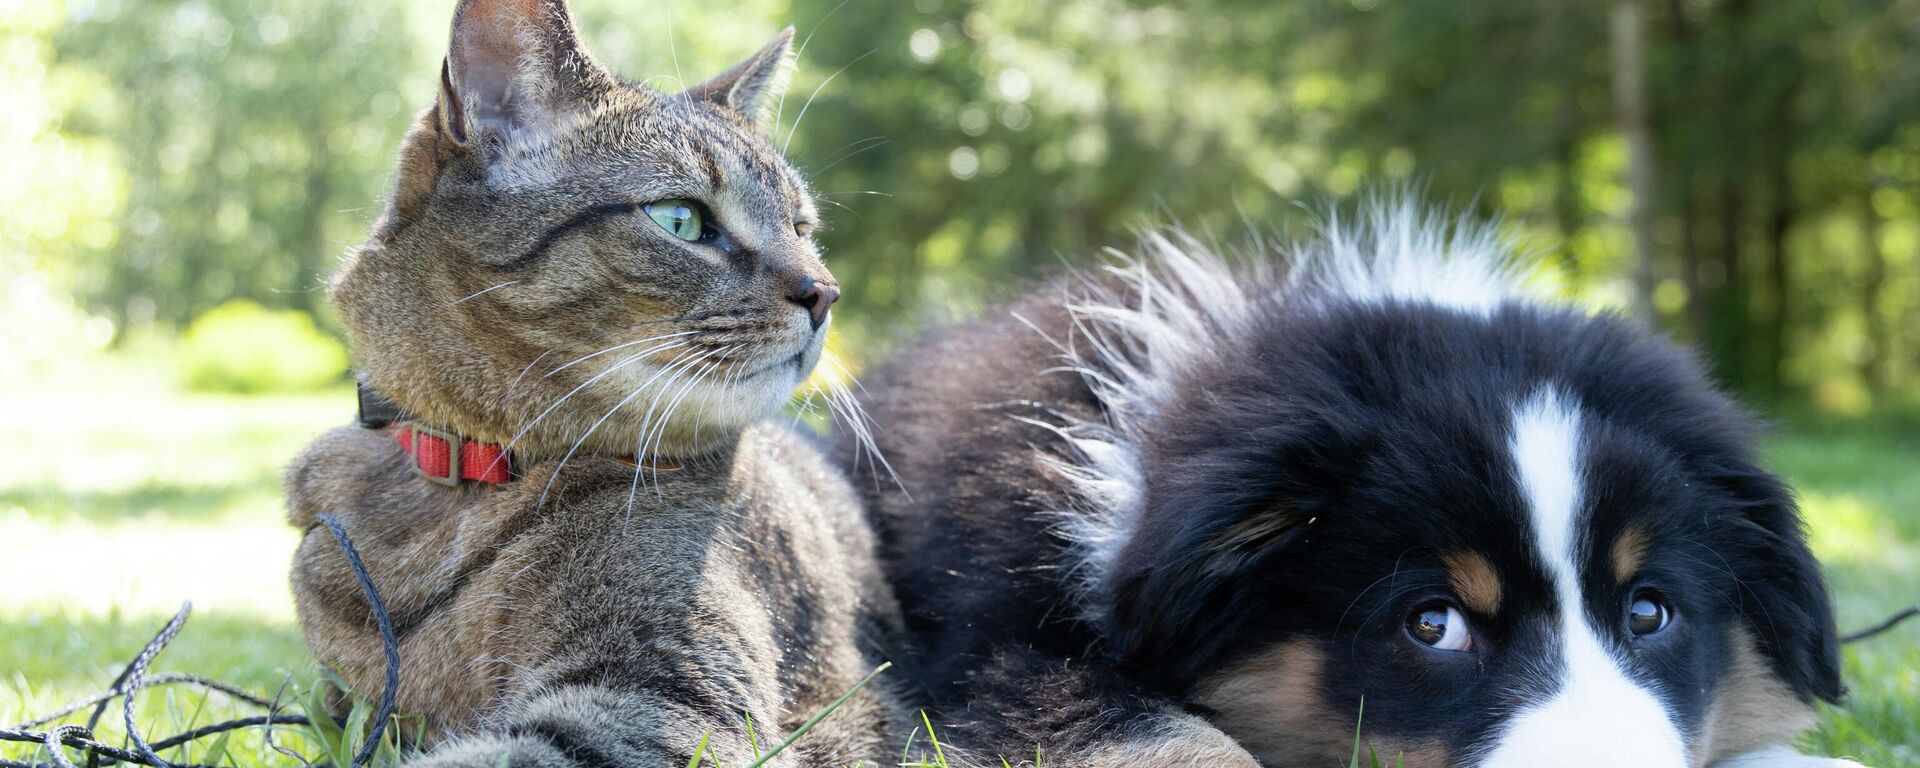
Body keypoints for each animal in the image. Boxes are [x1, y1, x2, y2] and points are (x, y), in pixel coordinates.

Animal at [282, 1, 906, 768]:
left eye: (801, 227)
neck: (464, 480)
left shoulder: (657, 700)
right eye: (680, 219)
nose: (826, 292)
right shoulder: (337, 706)